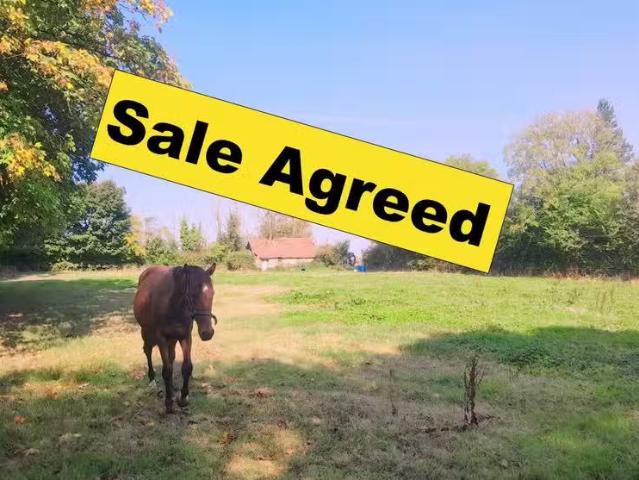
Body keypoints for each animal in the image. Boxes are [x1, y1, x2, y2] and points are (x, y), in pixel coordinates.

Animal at [133, 263, 217, 413]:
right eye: (193, 294)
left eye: (212, 293)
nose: (207, 333)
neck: (173, 306)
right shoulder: (161, 338)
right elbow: (166, 370)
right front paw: (168, 403)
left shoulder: (185, 336)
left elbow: (186, 367)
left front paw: (183, 398)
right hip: (147, 332)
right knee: (147, 351)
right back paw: (152, 380)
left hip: (172, 339)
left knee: (171, 357)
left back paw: (171, 388)